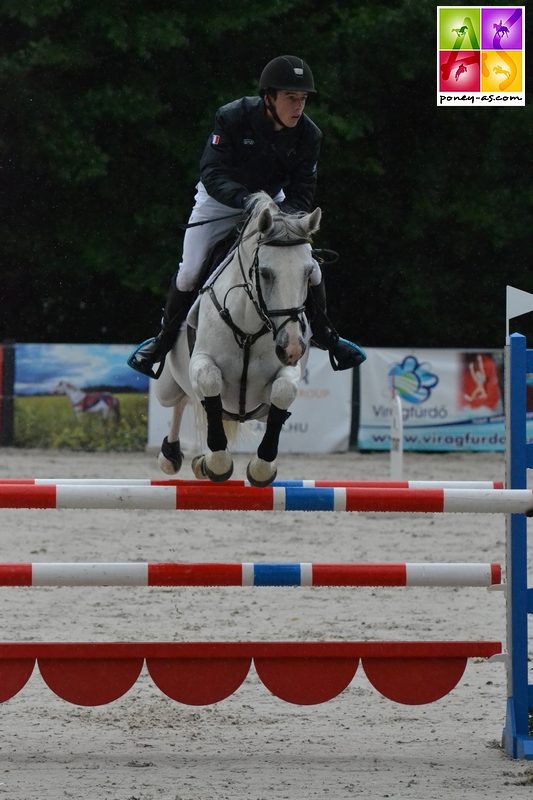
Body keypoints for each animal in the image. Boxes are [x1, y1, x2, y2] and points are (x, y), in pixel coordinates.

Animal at [154, 192, 320, 488]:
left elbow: (283, 392)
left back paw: (199, 460)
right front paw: (218, 463)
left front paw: (262, 467)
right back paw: (172, 455)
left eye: (308, 272)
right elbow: (210, 382)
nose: (291, 346)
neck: (250, 328)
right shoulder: (202, 362)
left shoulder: (286, 372)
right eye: (265, 272)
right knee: (183, 399)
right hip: (167, 386)